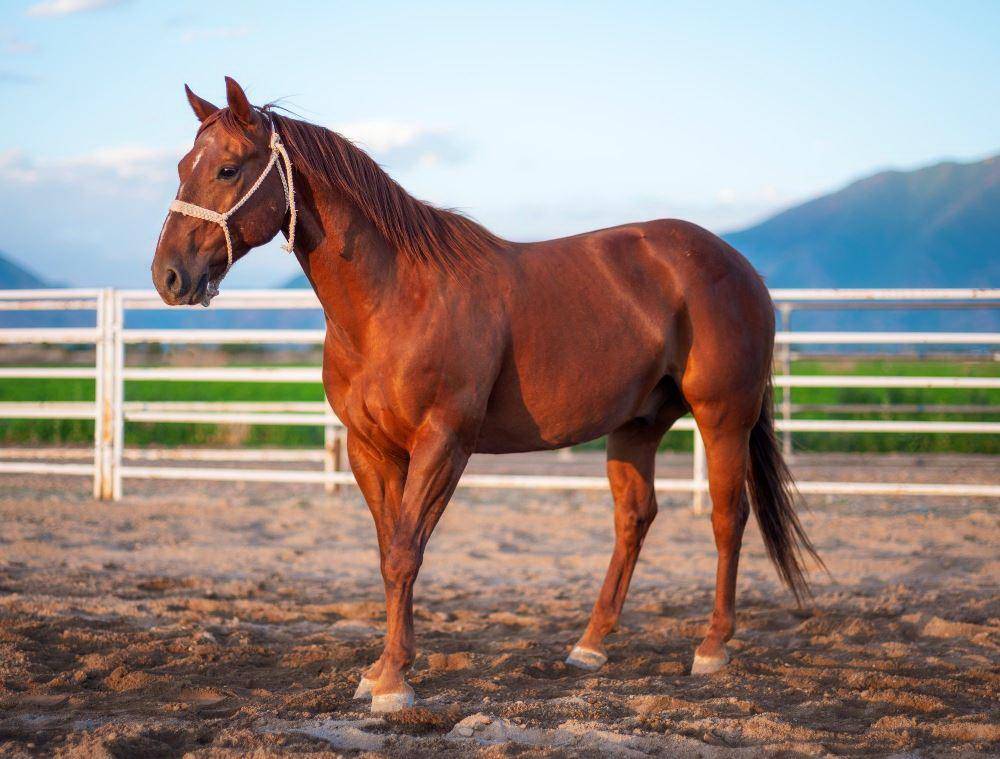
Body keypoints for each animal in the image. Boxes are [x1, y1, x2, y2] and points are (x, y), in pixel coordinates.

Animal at [150, 75, 820, 712]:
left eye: (228, 169)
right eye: (182, 166)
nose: (168, 277)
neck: (394, 297)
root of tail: (739, 266)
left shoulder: (443, 442)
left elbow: (405, 552)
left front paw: (394, 681)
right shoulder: (371, 448)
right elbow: (388, 550)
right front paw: (380, 670)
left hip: (723, 417)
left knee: (728, 517)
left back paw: (711, 648)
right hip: (637, 425)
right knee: (634, 518)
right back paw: (590, 646)